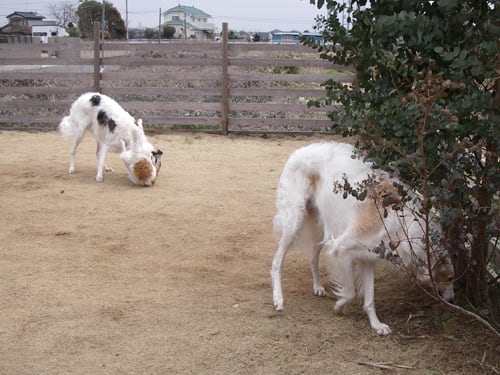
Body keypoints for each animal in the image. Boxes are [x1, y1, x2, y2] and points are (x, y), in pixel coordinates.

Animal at [272, 142, 456, 336]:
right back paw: (278, 299)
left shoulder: (368, 257)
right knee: (276, 262)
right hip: (294, 221)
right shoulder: (341, 249)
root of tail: (301, 150)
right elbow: (351, 293)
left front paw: (376, 325)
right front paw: (338, 307)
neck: (400, 224)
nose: (452, 301)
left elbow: (369, 299)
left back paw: (317, 287)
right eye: (450, 278)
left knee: (313, 258)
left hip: (320, 227)